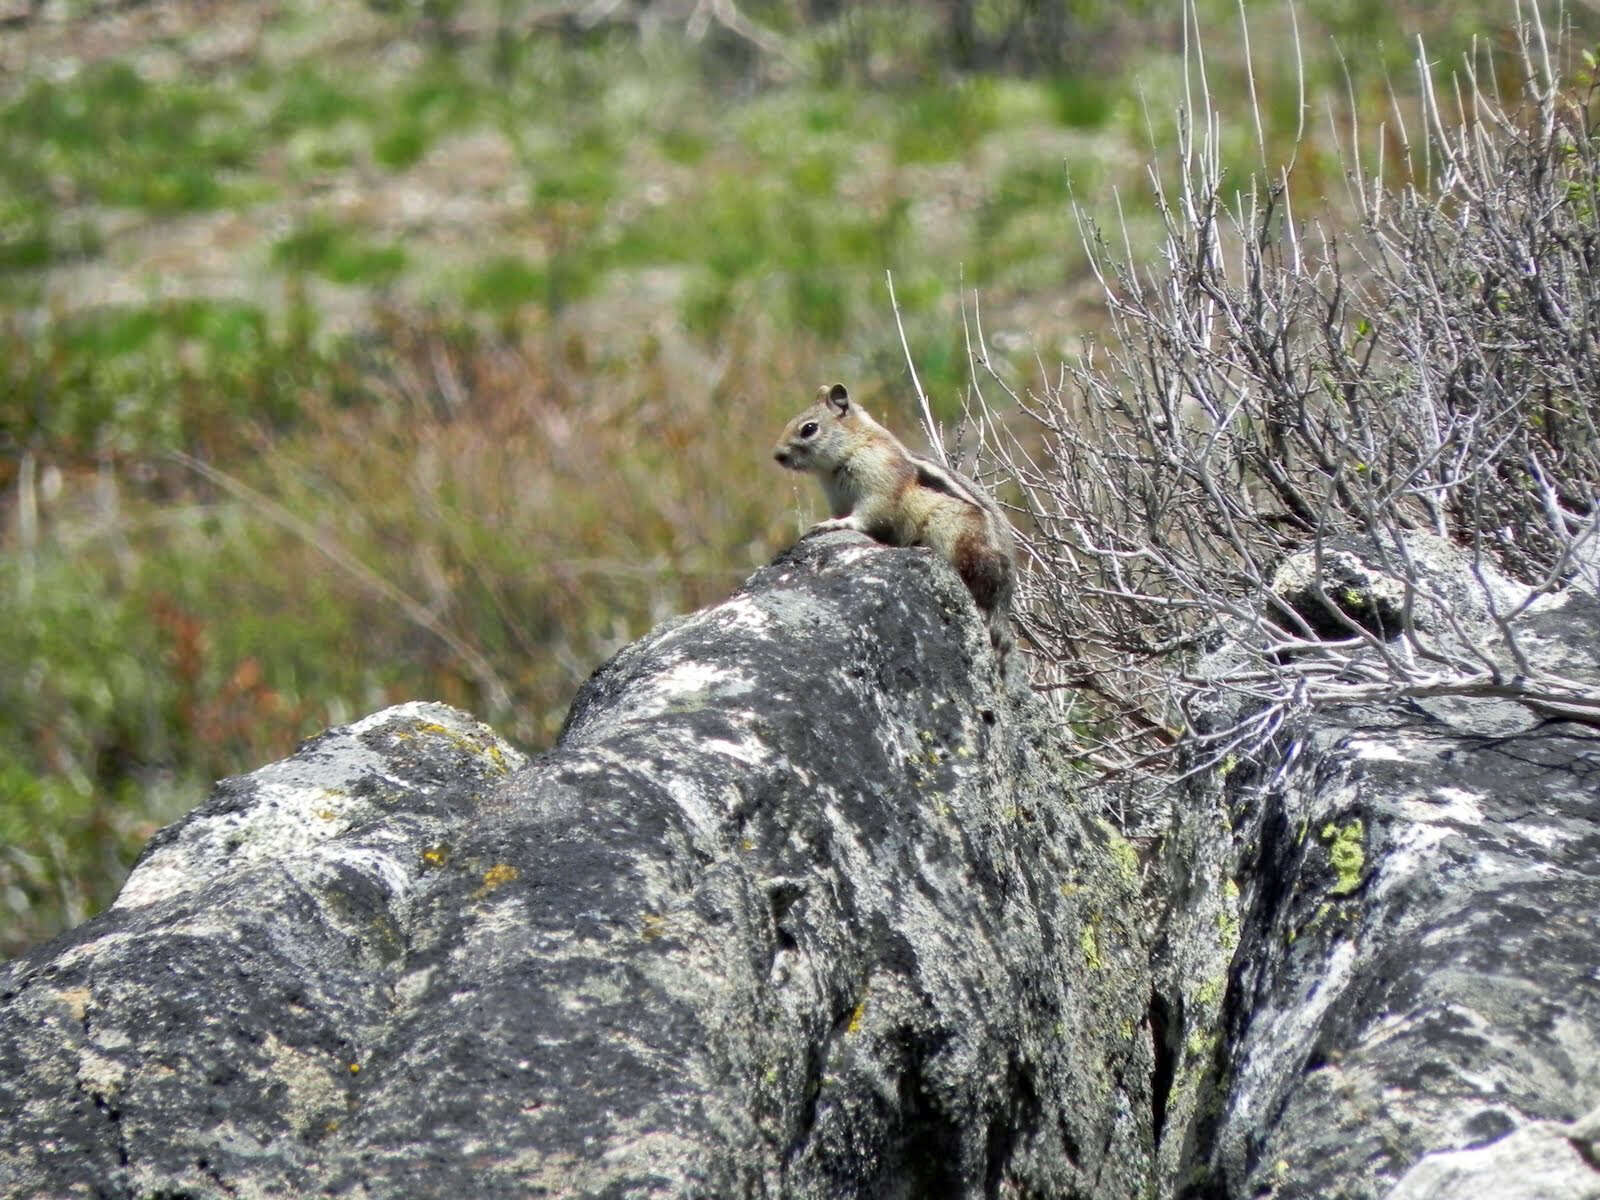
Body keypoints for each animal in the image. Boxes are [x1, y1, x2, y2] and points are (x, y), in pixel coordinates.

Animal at [771, 385, 1011, 662]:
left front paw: (833, 525)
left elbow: (866, 515)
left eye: (808, 428)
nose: (777, 455)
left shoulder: (878, 489)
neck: (855, 446)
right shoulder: (838, 500)